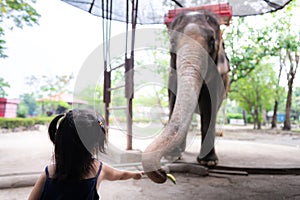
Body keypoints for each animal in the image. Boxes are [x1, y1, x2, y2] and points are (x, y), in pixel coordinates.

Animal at [142, 10, 231, 184]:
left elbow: (208, 106)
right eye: (172, 42)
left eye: (212, 41)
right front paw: (172, 156)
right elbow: (173, 99)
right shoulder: (172, 73)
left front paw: (208, 162)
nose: (162, 171)